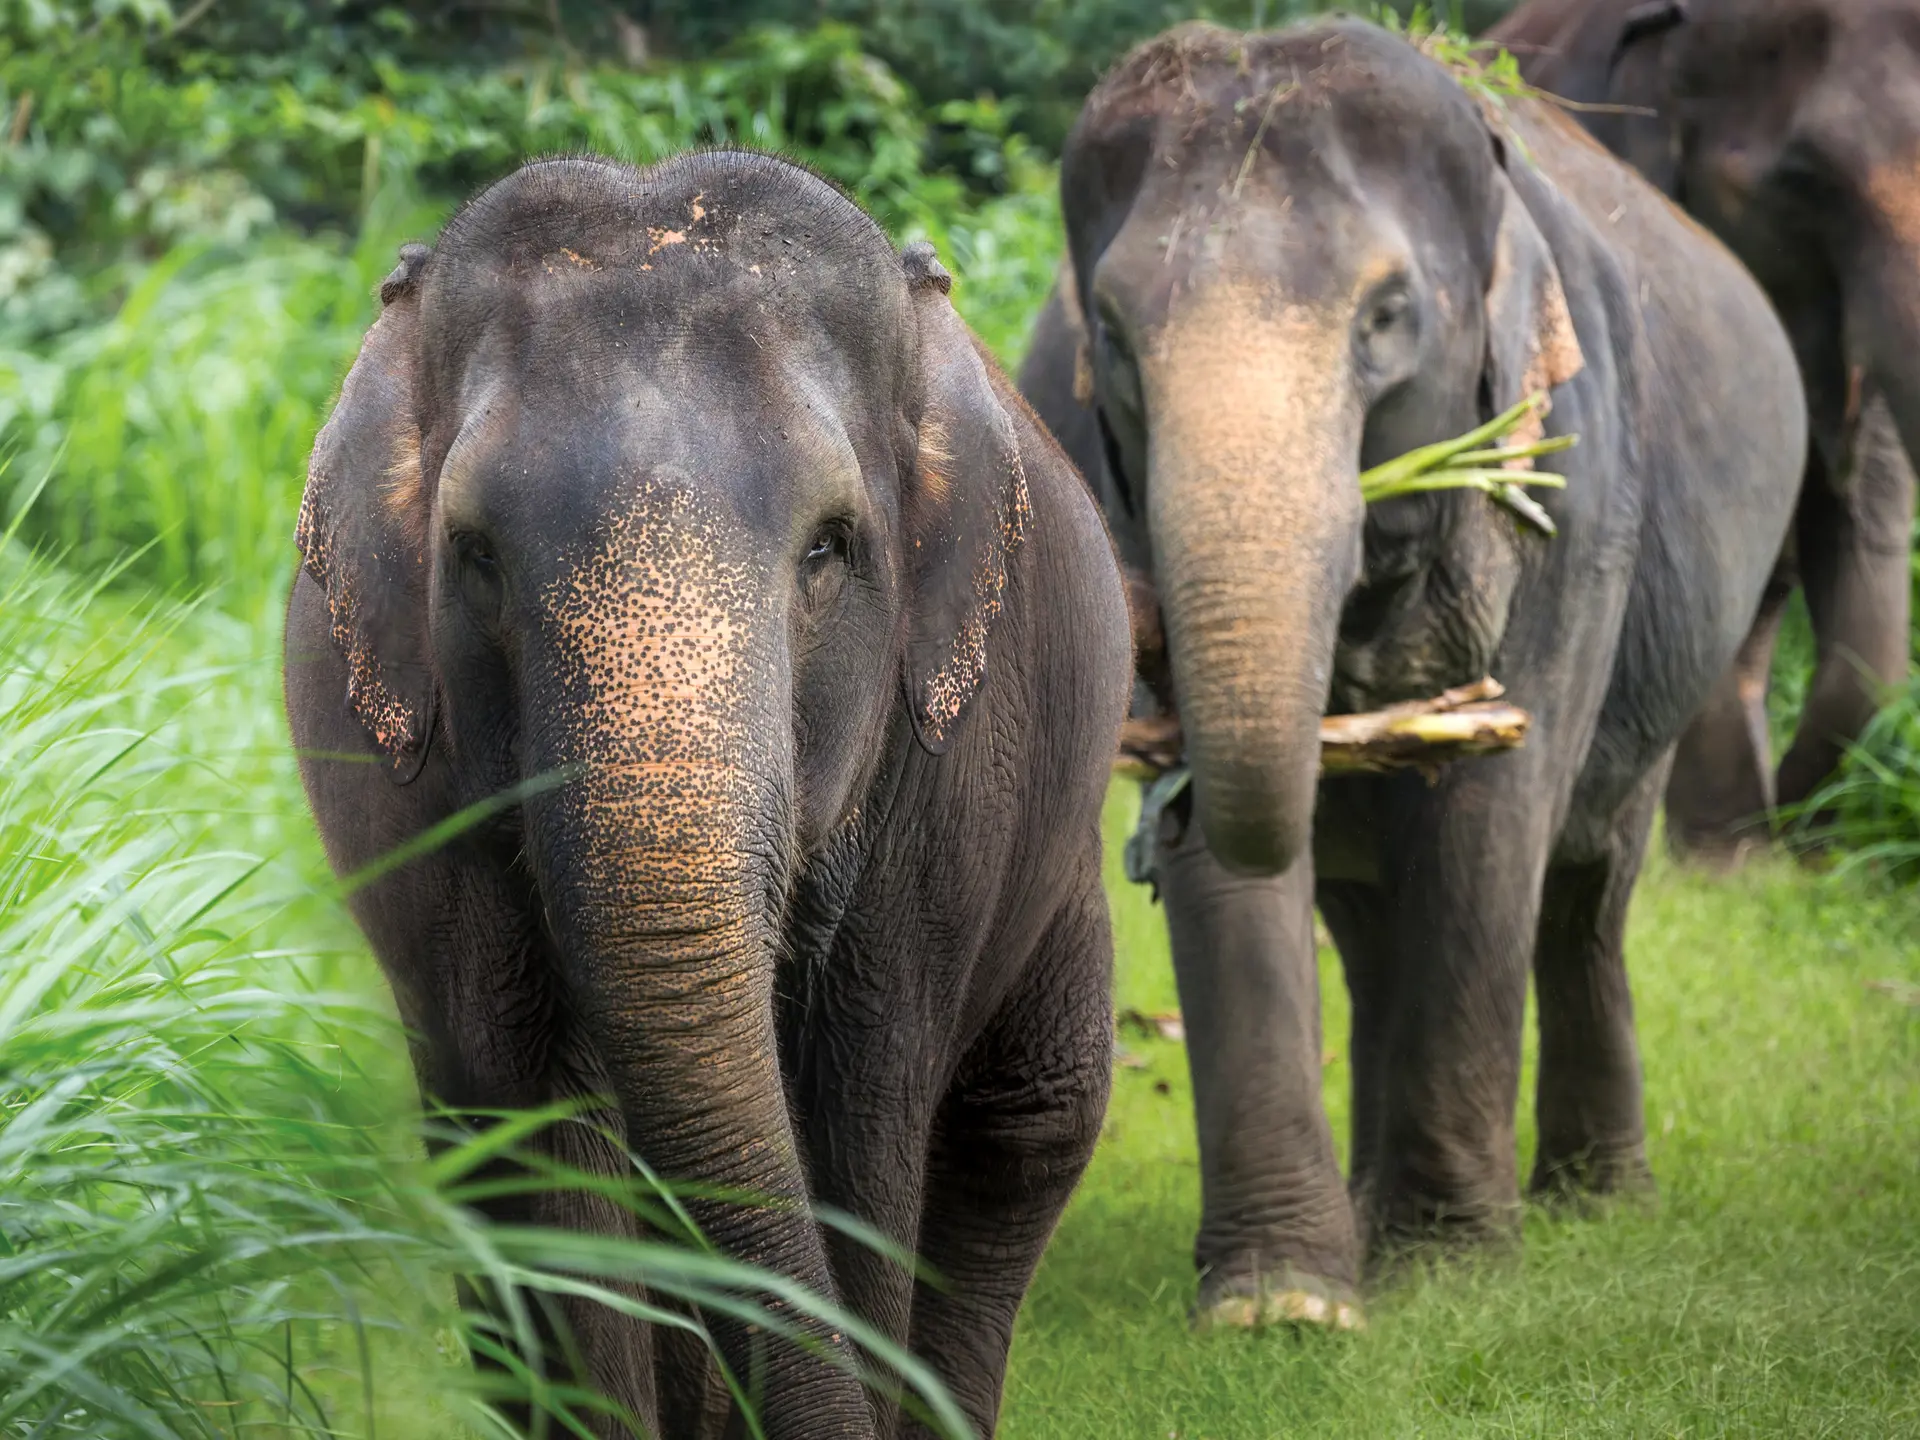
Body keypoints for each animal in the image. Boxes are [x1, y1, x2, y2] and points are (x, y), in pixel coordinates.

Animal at [283, 150, 1132, 1438]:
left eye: (829, 546)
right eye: (474, 555)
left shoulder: (950, 781)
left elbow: (857, 1132)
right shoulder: (401, 786)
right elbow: (533, 1133)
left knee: (1027, 1124)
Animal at [1017, 19, 1803, 1322]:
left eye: (1385, 316)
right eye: (1116, 338)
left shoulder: (1572, 482)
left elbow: (1490, 825)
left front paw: (1450, 1271)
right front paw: (1285, 1305)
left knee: (1585, 889)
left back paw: (1593, 1203)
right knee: (1376, 921)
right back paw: (1373, 1212)